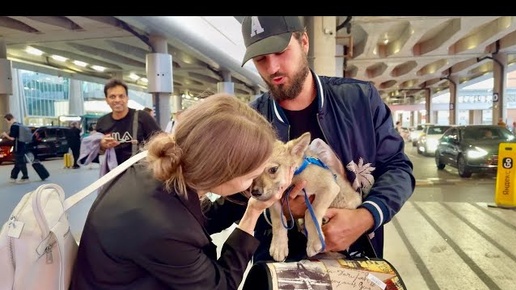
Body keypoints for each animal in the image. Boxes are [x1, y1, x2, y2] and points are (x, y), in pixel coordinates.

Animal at [252, 133, 360, 262]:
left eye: (273, 169)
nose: (254, 192)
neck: (293, 181)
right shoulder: (275, 199)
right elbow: (278, 220)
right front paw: (279, 246)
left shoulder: (330, 187)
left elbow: (311, 212)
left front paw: (314, 242)